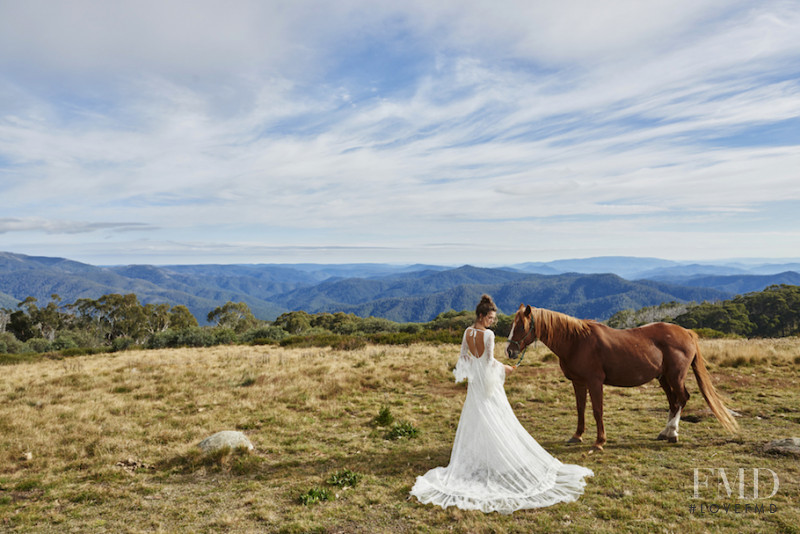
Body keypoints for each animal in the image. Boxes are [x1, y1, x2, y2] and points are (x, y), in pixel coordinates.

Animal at [506, 306, 736, 452]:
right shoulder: (578, 382)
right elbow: (580, 408)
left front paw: (599, 442)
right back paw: (665, 433)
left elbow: (597, 410)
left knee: (682, 399)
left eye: (521, 326)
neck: (577, 341)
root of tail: (686, 332)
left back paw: (672, 433)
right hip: (663, 378)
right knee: (673, 402)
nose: (510, 351)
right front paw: (577, 436)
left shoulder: (594, 382)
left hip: (675, 376)